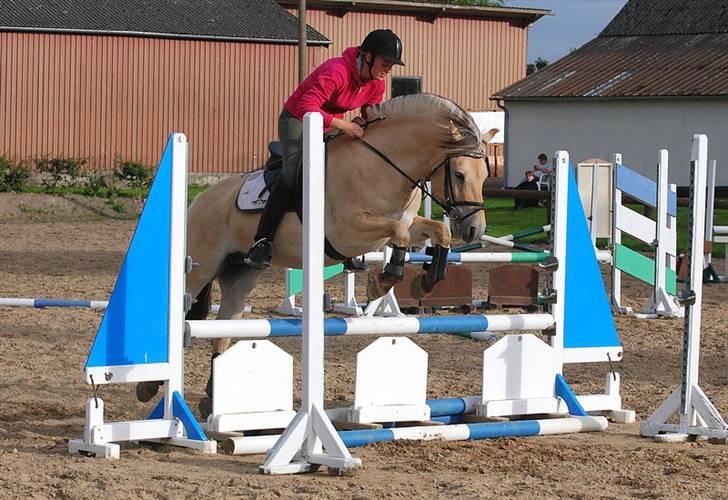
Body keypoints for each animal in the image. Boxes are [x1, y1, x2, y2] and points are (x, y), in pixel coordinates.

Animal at [135, 93, 500, 406]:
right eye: (459, 174)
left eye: (485, 174)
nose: (475, 229)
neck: (384, 164)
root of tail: (198, 201)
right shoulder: (349, 231)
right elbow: (398, 235)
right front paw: (381, 283)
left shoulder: (400, 226)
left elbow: (437, 232)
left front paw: (425, 280)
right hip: (201, 266)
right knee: (180, 312)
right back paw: (149, 385)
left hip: (241, 274)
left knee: (224, 327)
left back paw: (214, 398)